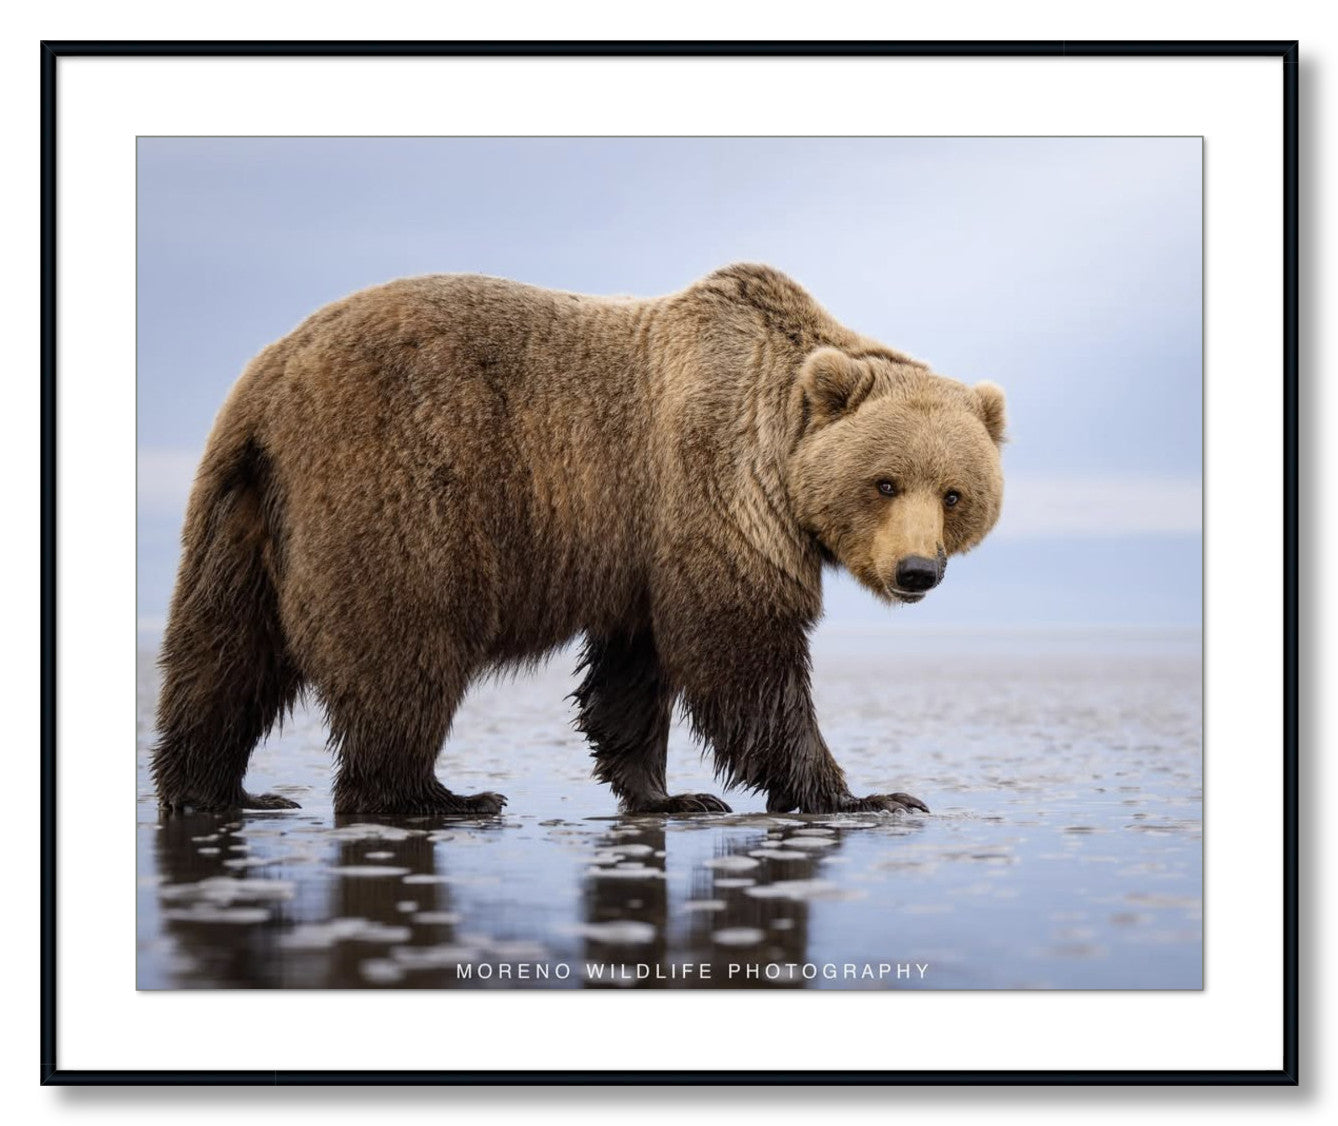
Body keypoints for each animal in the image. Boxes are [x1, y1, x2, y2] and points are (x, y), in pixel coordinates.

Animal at [151, 264, 1006, 817]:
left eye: (955, 493)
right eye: (885, 482)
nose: (916, 570)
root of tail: (269, 382)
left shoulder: (639, 545)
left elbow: (635, 670)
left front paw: (669, 794)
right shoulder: (712, 490)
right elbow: (742, 652)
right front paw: (866, 795)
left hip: (241, 512)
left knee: (224, 654)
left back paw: (220, 790)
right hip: (396, 484)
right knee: (403, 648)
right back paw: (434, 795)